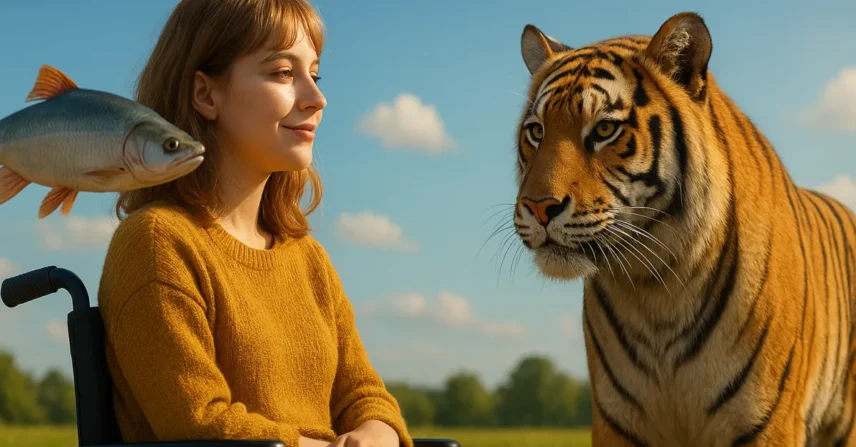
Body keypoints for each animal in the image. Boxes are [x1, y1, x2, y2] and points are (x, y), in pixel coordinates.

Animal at [511, 11, 856, 447]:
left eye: (605, 130)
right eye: (536, 131)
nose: (539, 207)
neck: (655, 290)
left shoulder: (766, 421)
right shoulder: (616, 422)